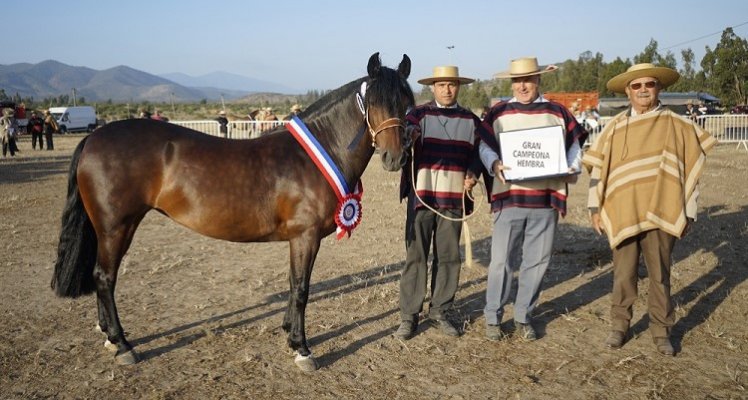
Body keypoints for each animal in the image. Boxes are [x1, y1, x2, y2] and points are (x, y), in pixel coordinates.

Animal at [52, 53, 414, 372]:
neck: (315, 155)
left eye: (406, 103)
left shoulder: (299, 240)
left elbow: (293, 284)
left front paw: (288, 333)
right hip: (116, 227)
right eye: (374, 104)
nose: (394, 158)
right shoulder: (305, 236)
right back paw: (123, 344)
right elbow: (301, 289)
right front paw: (302, 349)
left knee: (101, 277)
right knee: (105, 277)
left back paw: (109, 338)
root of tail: (93, 138)